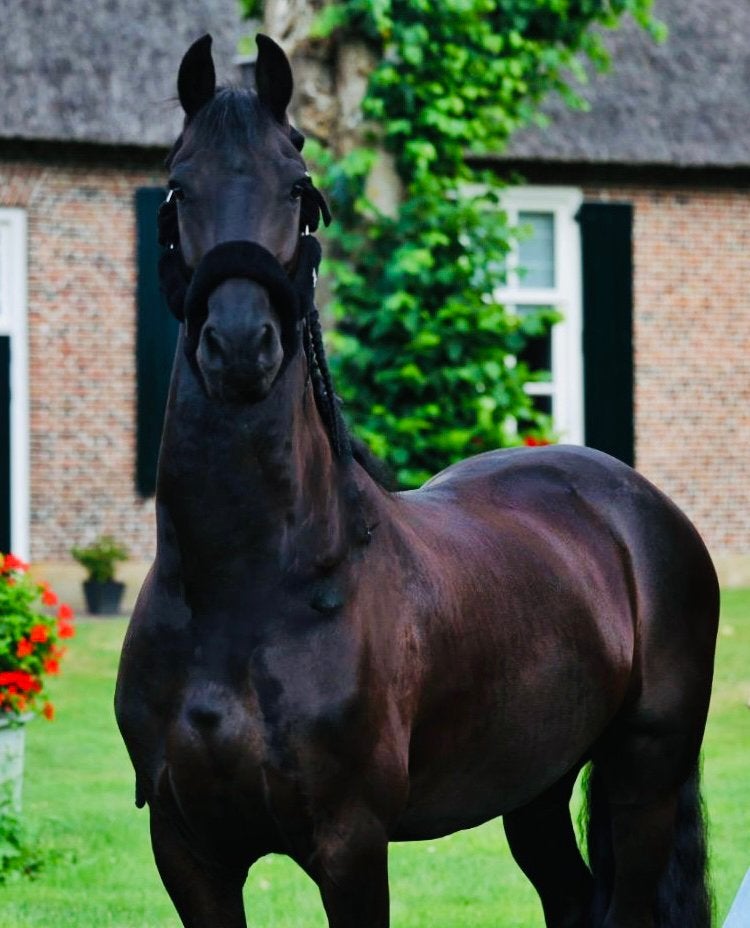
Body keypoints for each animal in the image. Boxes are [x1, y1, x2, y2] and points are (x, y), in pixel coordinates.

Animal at [115, 33, 719, 928]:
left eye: (299, 190)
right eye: (177, 187)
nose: (240, 345)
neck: (245, 592)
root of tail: (642, 506)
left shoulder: (351, 847)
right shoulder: (188, 852)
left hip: (643, 777)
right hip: (534, 787)